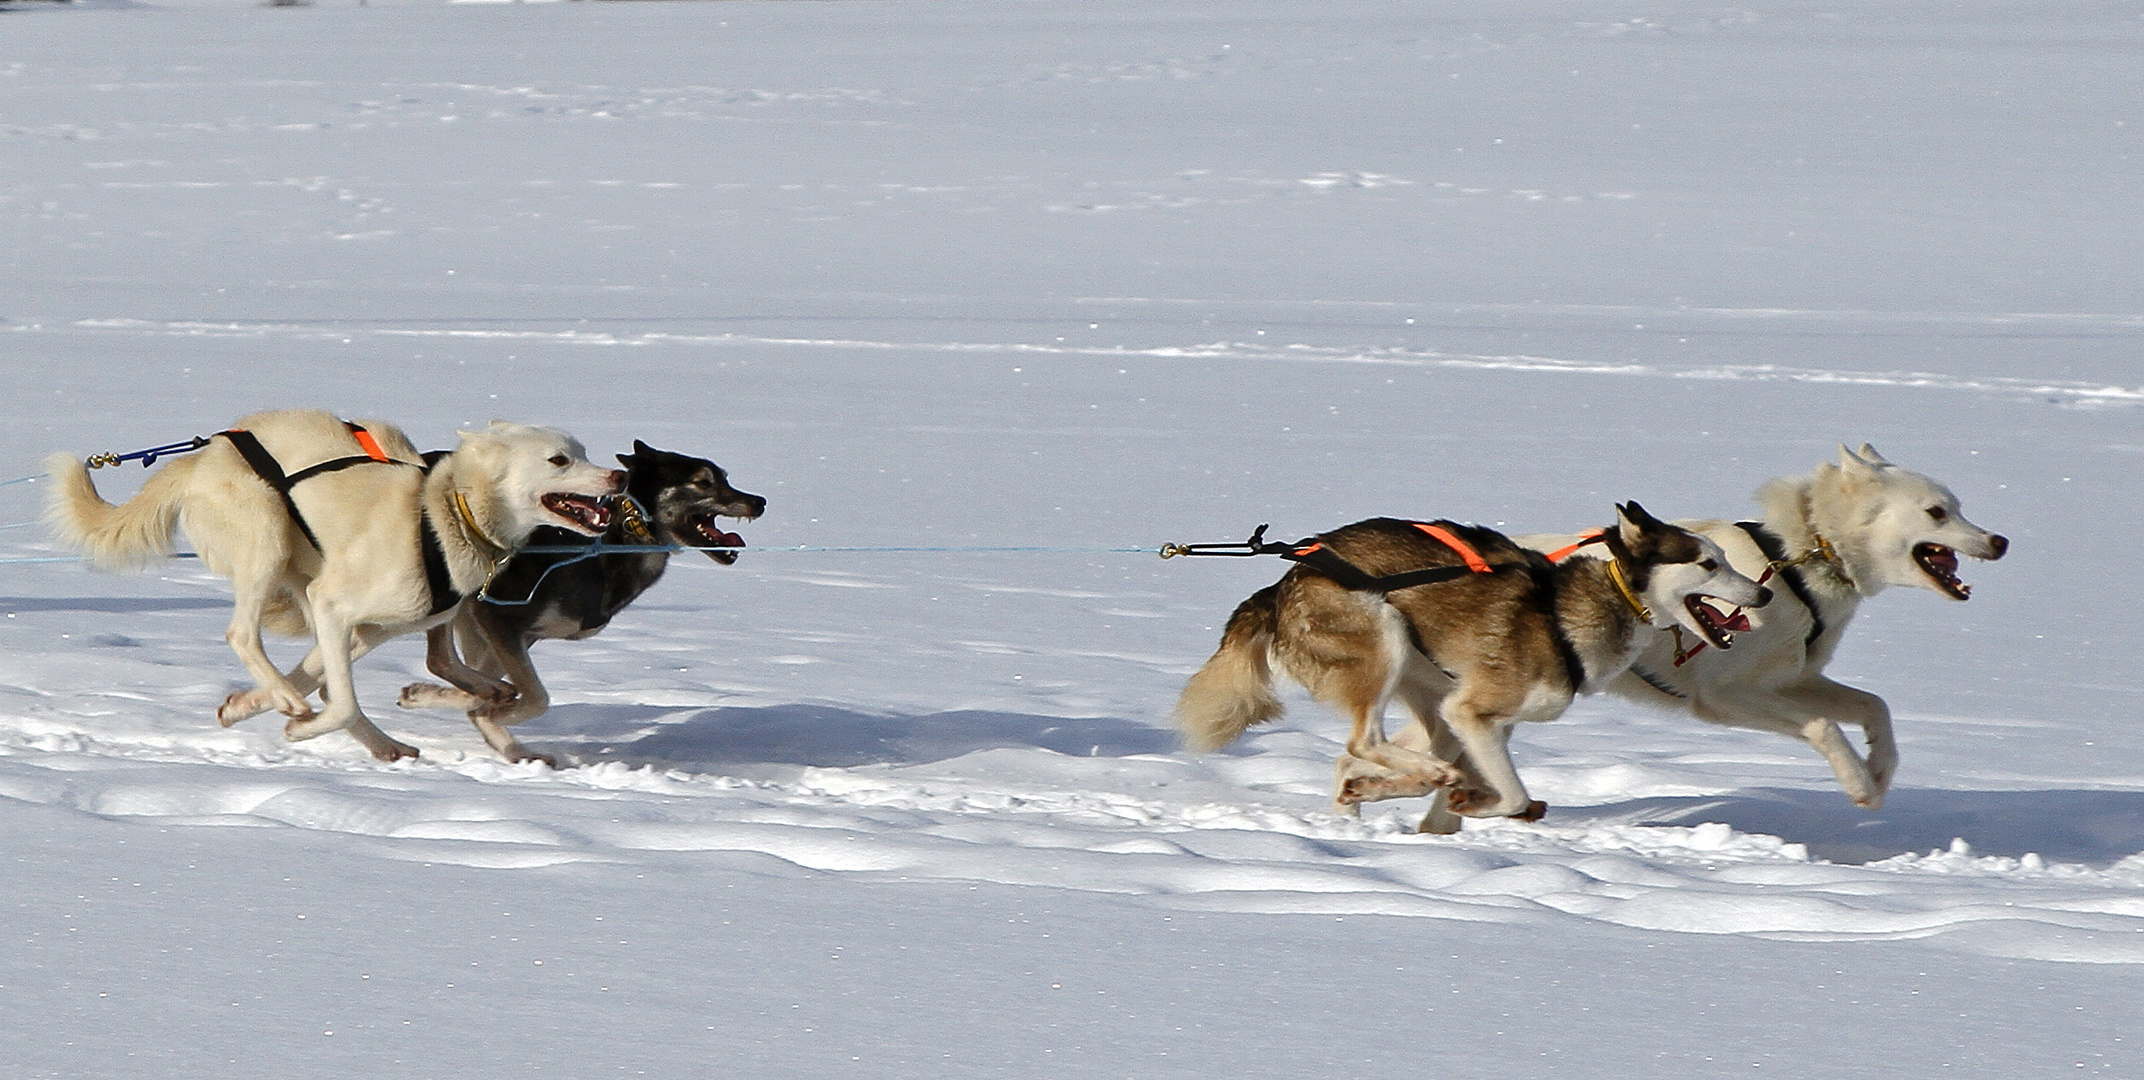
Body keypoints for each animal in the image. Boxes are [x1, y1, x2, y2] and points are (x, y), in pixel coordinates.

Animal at [41, 409, 626, 762]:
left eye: (584, 450)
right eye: (559, 460)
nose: (619, 477)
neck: (445, 514)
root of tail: (201, 455)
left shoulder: (367, 618)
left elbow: (381, 679)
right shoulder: (333, 605)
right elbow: (341, 702)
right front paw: (297, 728)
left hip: (341, 608)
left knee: (319, 676)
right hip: (269, 544)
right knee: (246, 638)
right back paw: (286, 701)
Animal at [398, 437, 767, 758]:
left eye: (725, 478)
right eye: (703, 482)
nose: (759, 502)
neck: (609, 543)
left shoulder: (514, 635)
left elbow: (492, 692)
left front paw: (461, 704)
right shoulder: (498, 619)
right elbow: (534, 697)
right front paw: (491, 710)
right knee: (438, 659)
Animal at [1183, 501, 1766, 831]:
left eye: (1725, 559)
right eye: (1708, 564)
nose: (1762, 594)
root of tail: (1284, 582)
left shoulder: (1488, 724)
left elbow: (1474, 799)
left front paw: (1443, 803)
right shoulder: (1474, 713)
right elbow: (1513, 795)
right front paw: (1476, 801)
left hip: (1430, 696)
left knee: (1367, 758)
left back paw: (1367, 803)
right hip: (1386, 642)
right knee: (1364, 742)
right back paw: (1423, 776)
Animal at [1509, 445, 2006, 810]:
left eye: (1958, 508)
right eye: (1937, 512)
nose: (2000, 541)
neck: (1793, 566)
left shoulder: (1792, 679)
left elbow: (1874, 705)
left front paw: (1880, 770)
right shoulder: (1723, 696)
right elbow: (1824, 726)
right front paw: (1860, 782)